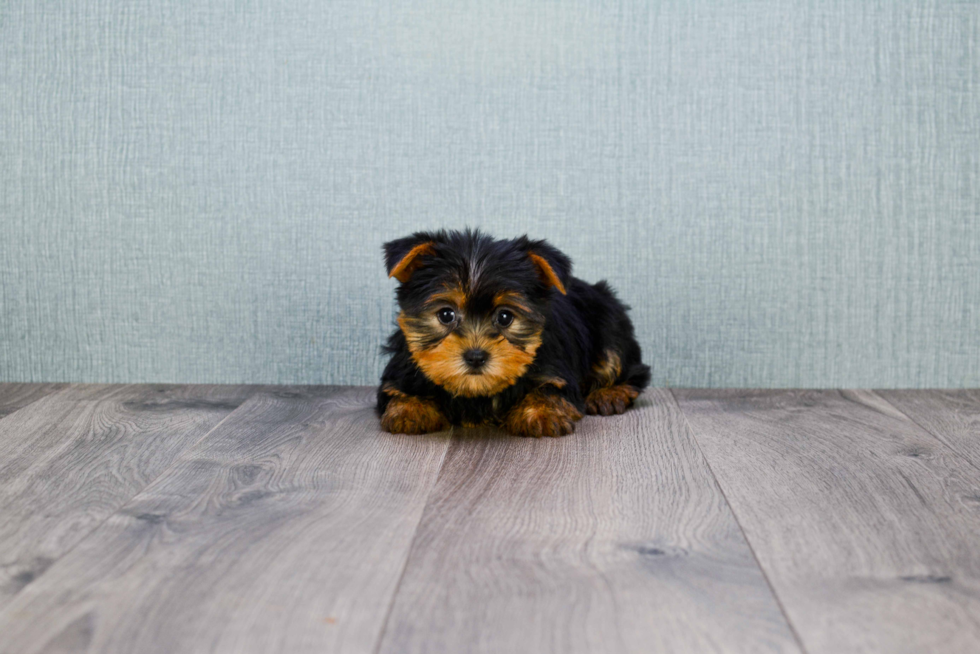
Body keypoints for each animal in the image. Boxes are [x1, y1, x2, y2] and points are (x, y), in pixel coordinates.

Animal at [378, 228, 652, 438]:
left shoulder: (556, 371)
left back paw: (609, 394)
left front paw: (541, 413)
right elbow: (396, 392)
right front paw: (410, 410)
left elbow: (549, 390)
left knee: (625, 366)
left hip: (608, 323)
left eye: (505, 317)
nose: (475, 356)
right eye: (446, 315)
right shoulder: (401, 371)